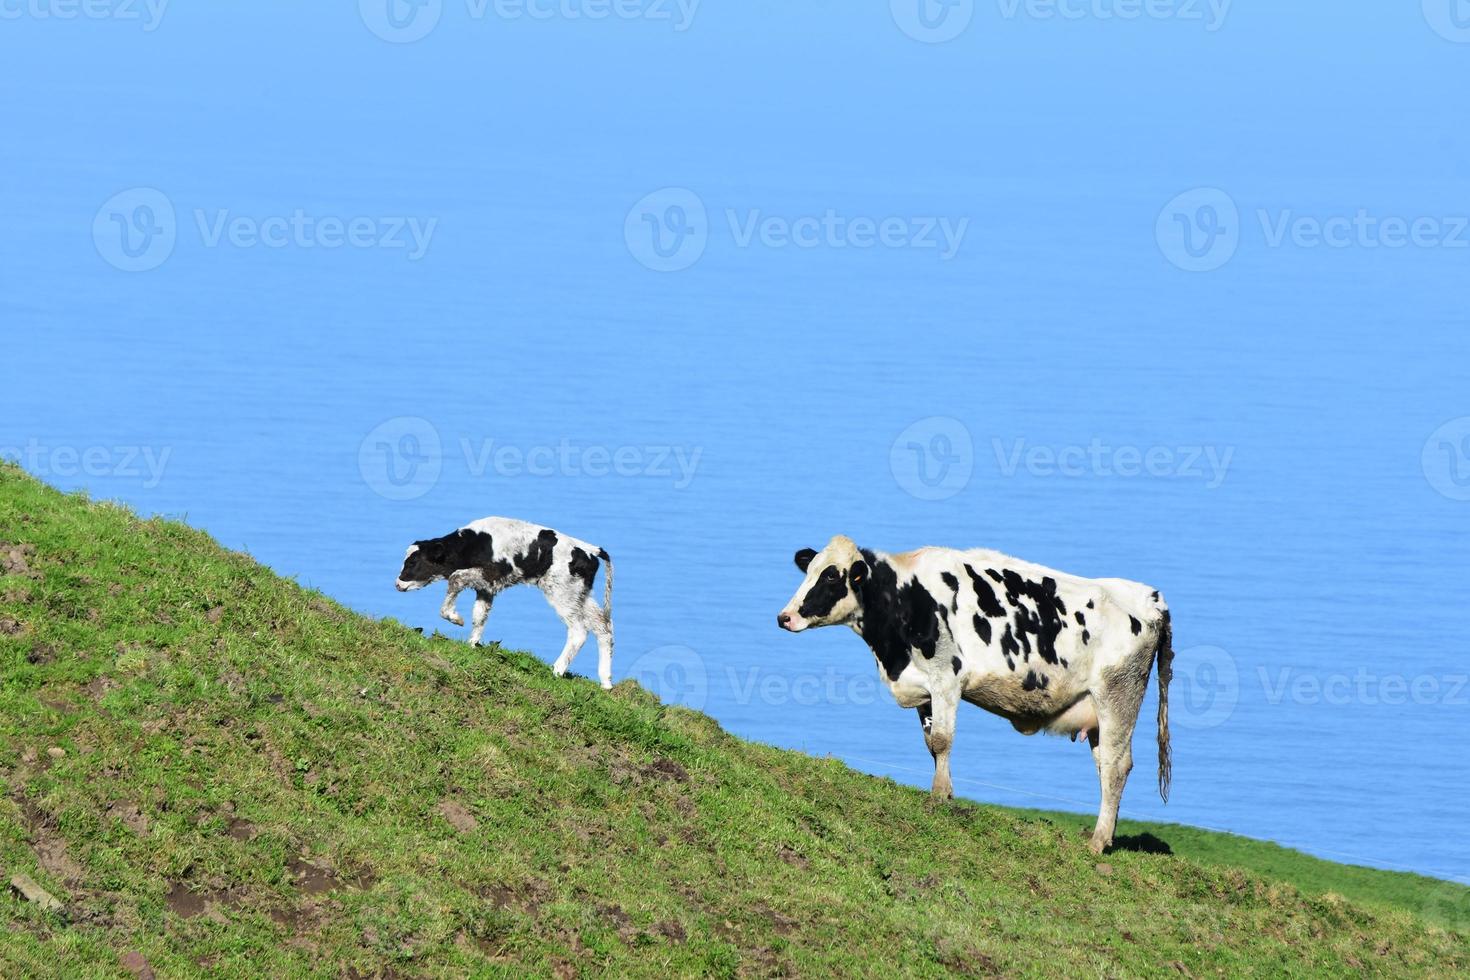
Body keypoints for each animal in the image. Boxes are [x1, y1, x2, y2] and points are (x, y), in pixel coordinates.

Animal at [393, 520, 617, 690]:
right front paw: (472, 645)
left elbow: (455, 579)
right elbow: (480, 615)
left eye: (412, 562)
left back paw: (557, 670)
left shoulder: (490, 574)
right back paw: (605, 682)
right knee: (603, 627)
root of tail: (589, 550)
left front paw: (455, 618)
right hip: (581, 594)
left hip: (561, 592)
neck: (476, 543)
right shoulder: (486, 588)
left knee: (579, 631)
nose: (397, 583)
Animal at [782, 537, 1170, 858]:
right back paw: (1107, 834)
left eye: (832, 577)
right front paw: (945, 789)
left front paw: (939, 796)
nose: (784, 617)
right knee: (1105, 765)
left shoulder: (946, 678)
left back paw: (1098, 841)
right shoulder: (924, 689)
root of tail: (1149, 598)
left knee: (1116, 767)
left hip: (1118, 695)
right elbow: (931, 744)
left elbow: (942, 740)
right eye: (810, 570)